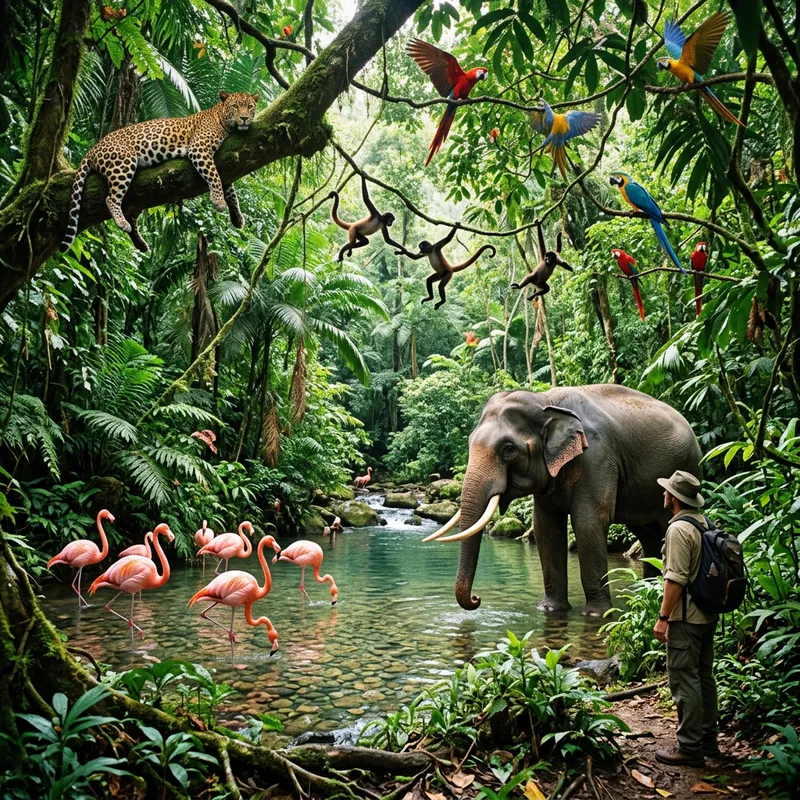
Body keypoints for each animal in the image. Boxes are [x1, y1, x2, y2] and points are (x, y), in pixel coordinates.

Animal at [60, 90, 259, 253]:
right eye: (235, 106)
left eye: (250, 107)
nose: (244, 118)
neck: (220, 117)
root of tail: (93, 149)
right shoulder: (199, 148)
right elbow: (214, 176)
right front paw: (218, 201)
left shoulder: (224, 166)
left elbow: (231, 190)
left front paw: (237, 217)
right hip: (123, 163)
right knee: (111, 198)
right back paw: (122, 222)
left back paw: (140, 242)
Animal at [424, 385, 702, 616]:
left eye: (509, 449)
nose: (476, 599)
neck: (545, 400)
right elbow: (546, 528)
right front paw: (549, 609)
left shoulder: (597, 458)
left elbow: (588, 523)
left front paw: (595, 615)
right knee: (648, 536)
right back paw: (646, 593)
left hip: (685, 469)